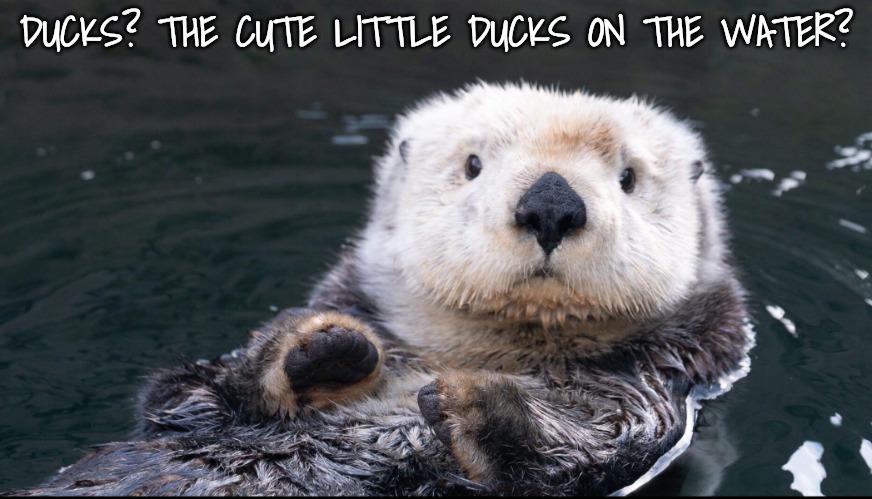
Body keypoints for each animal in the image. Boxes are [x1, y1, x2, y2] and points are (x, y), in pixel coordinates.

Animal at [8, 82, 754, 496]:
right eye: (473, 163)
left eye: (628, 177)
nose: (551, 203)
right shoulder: (186, 408)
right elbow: (184, 394)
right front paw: (319, 348)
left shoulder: (646, 398)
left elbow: (582, 449)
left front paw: (473, 404)